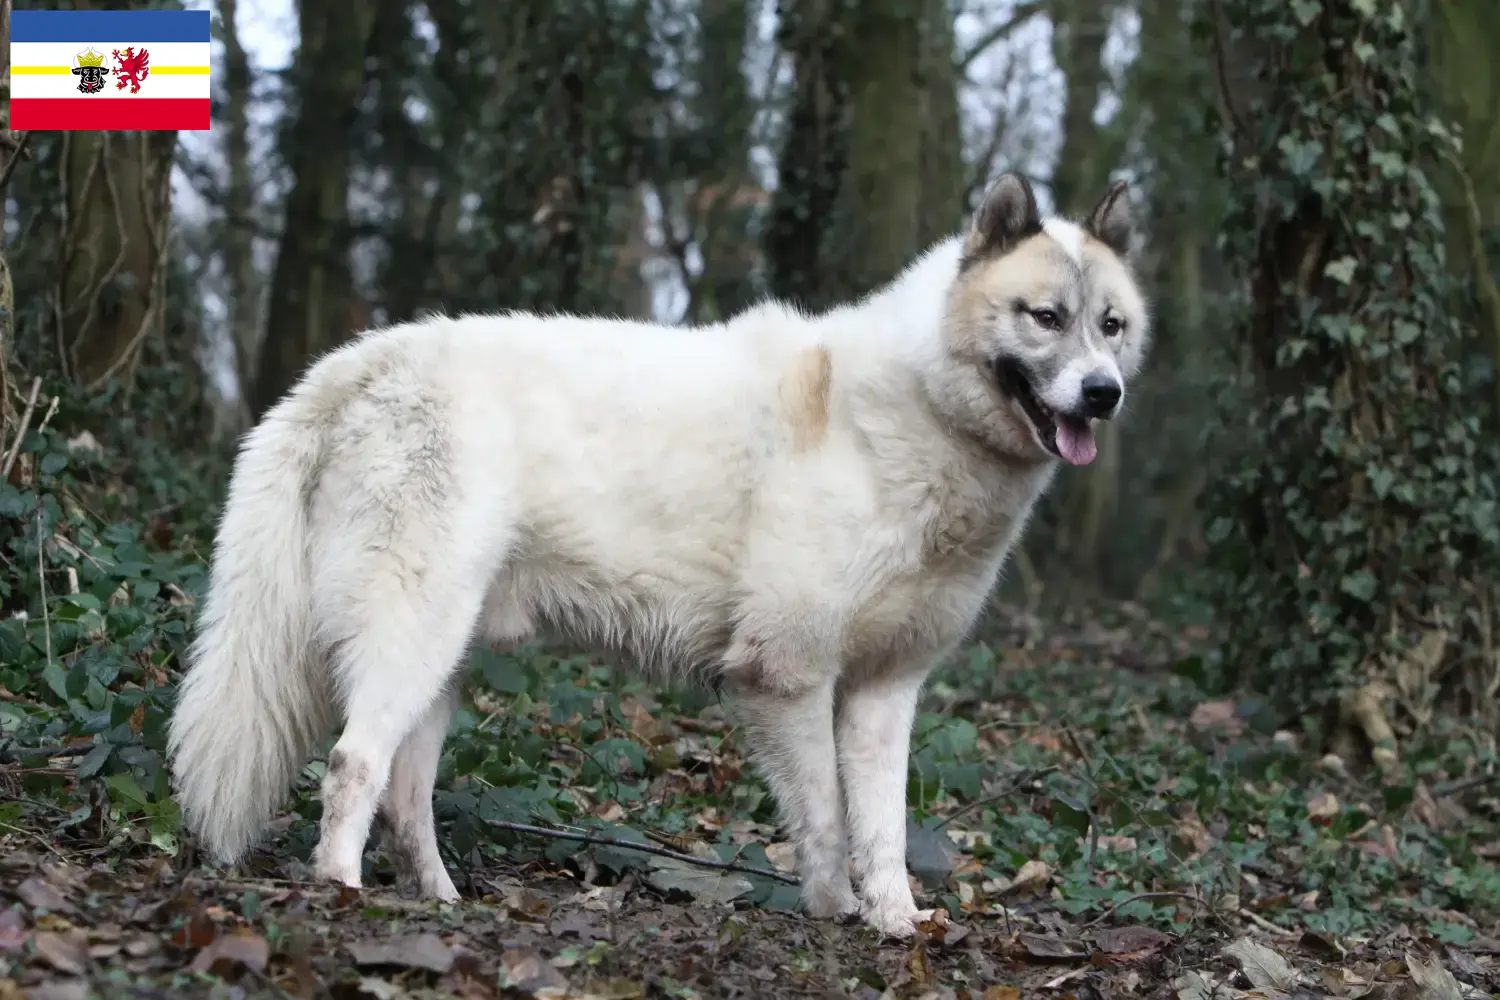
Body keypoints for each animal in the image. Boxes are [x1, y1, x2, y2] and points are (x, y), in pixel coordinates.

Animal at [167, 173, 1146, 941]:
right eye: (1044, 318)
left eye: (1111, 325)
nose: (1105, 395)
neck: (913, 416)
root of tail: (355, 363)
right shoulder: (787, 675)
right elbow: (827, 820)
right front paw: (834, 915)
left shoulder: (883, 693)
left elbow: (884, 831)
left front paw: (897, 922)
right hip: (411, 639)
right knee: (351, 766)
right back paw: (341, 894)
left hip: (440, 662)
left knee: (406, 798)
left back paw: (438, 901)